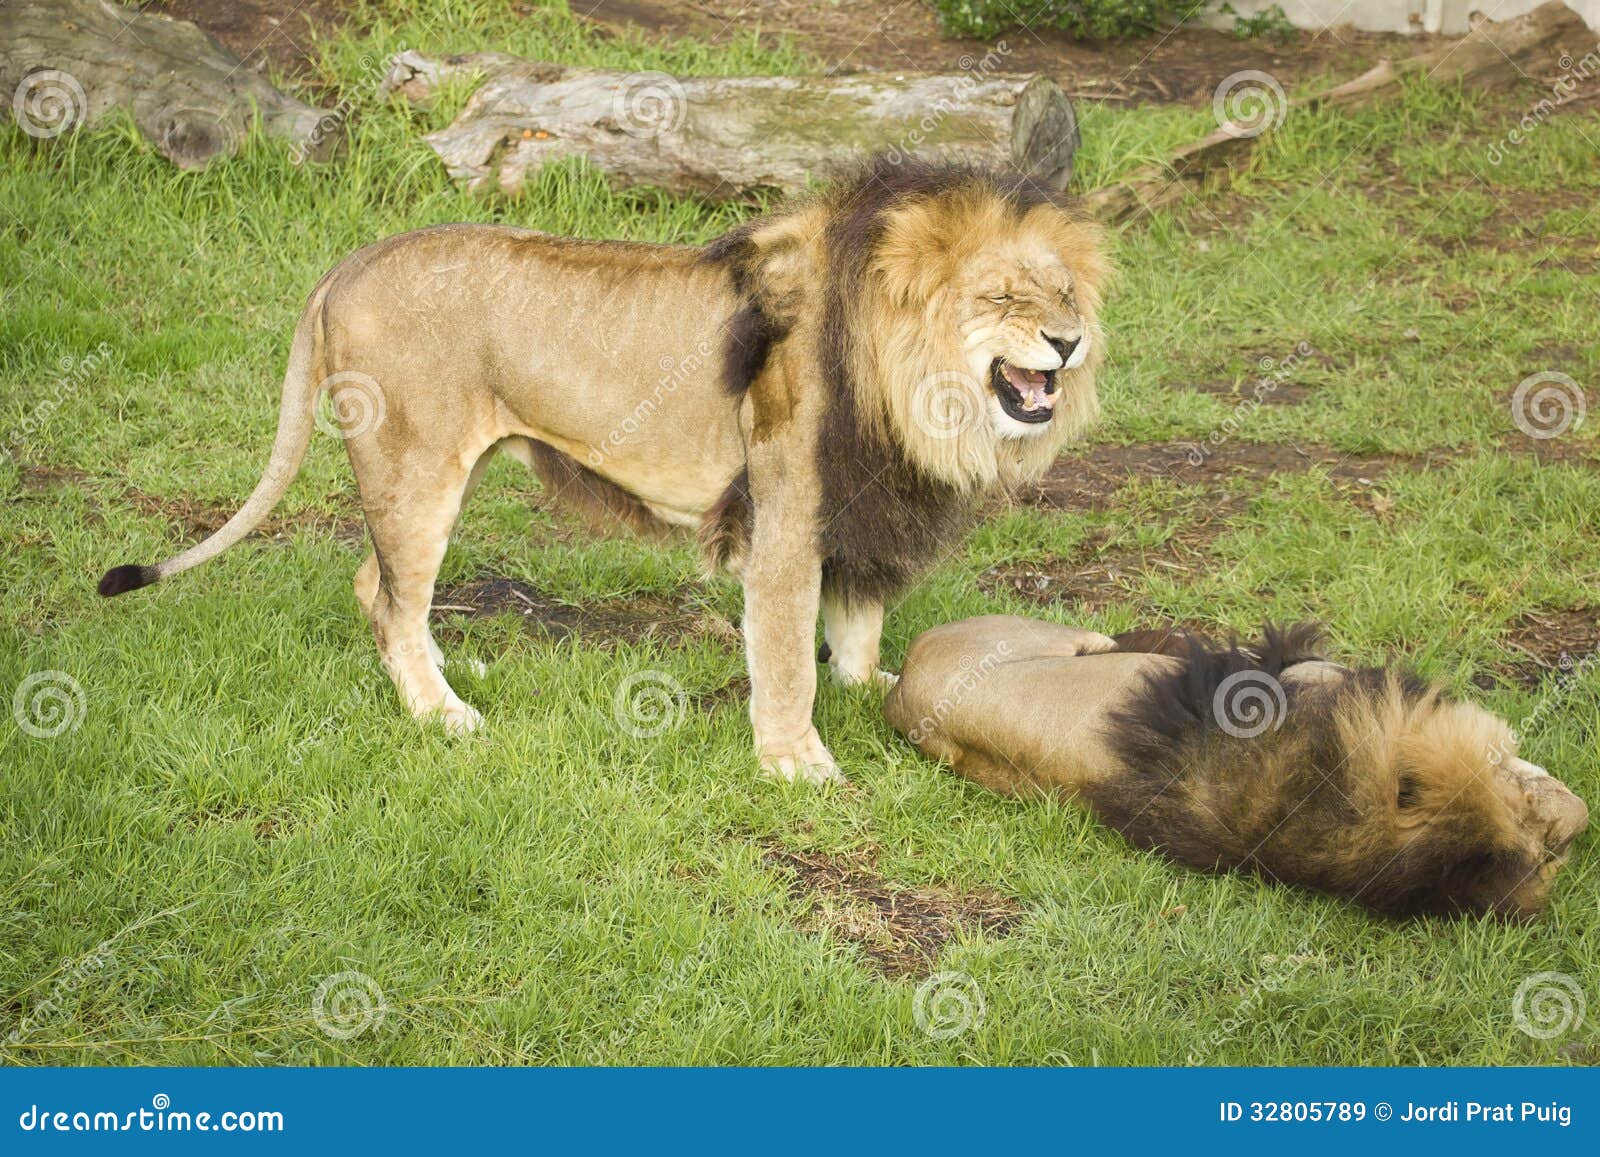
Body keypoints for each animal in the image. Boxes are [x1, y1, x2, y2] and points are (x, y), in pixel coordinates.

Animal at [98, 156, 1110, 782]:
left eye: (1065, 292)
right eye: (1002, 297)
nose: (1070, 341)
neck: (923, 393)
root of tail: (348, 263)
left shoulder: (867, 509)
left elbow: (855, 630)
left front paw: (879, 690)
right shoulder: (789, 517)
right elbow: (789, 658)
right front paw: (797, 763)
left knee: (374, 584)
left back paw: (444, 668)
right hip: (416, 469)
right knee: (391, 599)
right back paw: (442, 715)